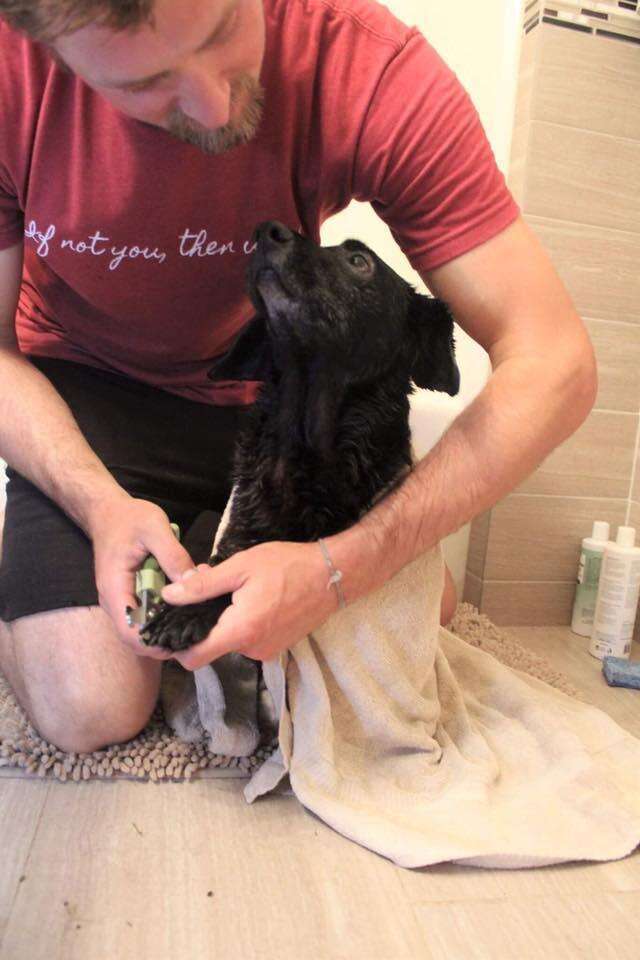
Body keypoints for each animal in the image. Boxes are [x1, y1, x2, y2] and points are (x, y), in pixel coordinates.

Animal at [140, 221, 460, 648]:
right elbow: (227, 556)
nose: (265, 231)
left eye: (359, 260)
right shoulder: (242, 523)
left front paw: (187, 612)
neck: (302, 446)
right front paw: (185, 607)